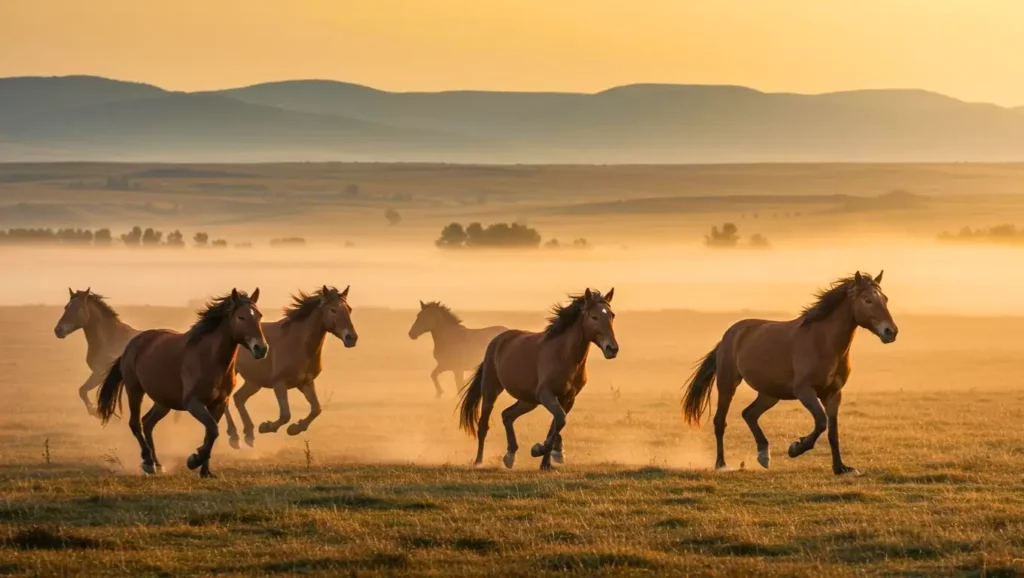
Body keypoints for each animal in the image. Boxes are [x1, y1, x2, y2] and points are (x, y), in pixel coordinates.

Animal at [96, 289, 268, 478]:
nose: (261, 348)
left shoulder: (219, 404)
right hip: (134, 390)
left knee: (148, 422)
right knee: (135, 423)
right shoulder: (194, 403)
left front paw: (205, 471)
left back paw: (157, 464)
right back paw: (148, 462)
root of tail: (132, 344)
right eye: (241, 317)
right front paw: (194, 460)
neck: (210, 359)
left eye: (259, 316)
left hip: (163, 401)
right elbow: (213, 430)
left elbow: (211, 433)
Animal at [225, 285, 357, 449]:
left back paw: (249, 435)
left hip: (254, 382)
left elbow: (316, 409)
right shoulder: (279, 384)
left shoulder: (305, 383)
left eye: (349, 309)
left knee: (238, 398)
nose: (352, 338)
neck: (298, 343)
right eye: (333, 310)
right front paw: (267, 427)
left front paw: (295, 428)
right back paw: (234, 437)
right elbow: (285, 415)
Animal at [458, 288, 619, 470]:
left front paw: (547, 462)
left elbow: (556, 424)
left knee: (507, 415)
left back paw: (510, 456)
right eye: (594, 317)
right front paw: (540, 450)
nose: (612, 349)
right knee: (483, 425)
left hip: (528, 401)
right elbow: (560, 420)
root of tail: (498, 340)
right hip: (491, 390)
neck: (565, 355)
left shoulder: (568, 398)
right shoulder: (546, 394)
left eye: (612, 315)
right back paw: (478, 461)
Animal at [681, 271, 897, 476]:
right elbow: (821, 422)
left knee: (749, 414)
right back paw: (722, 464)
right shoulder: (805, 391)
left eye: (885, 299)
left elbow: (833, 432)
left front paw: (840, 468)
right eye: (867, 300)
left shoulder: (833, 394)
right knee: (720, 421)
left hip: (770, 394)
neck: (823, 342)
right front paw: (796, 448)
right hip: (728, 384)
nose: (891, 332)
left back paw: (763, 455)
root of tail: (730, 334)